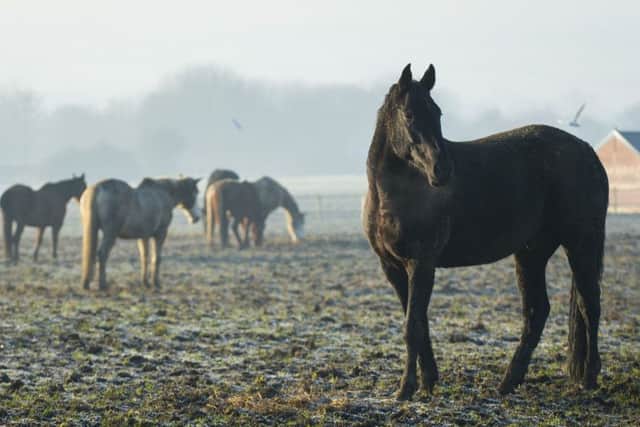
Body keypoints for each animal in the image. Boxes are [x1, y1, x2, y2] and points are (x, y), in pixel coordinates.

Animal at [363, 64, 608, 400]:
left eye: (437, 112)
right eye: (409, 114)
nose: (442, 170)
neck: (397, 192)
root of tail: (588, 151)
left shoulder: (421, 263)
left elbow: (412, 326)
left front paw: (406, 389)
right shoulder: (393, 267)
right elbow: (418, 323)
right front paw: (428, 382)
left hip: (581, 244)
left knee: (589, 305)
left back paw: (588, 379)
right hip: (532, 253)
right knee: (537, 312)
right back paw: (508, 382)